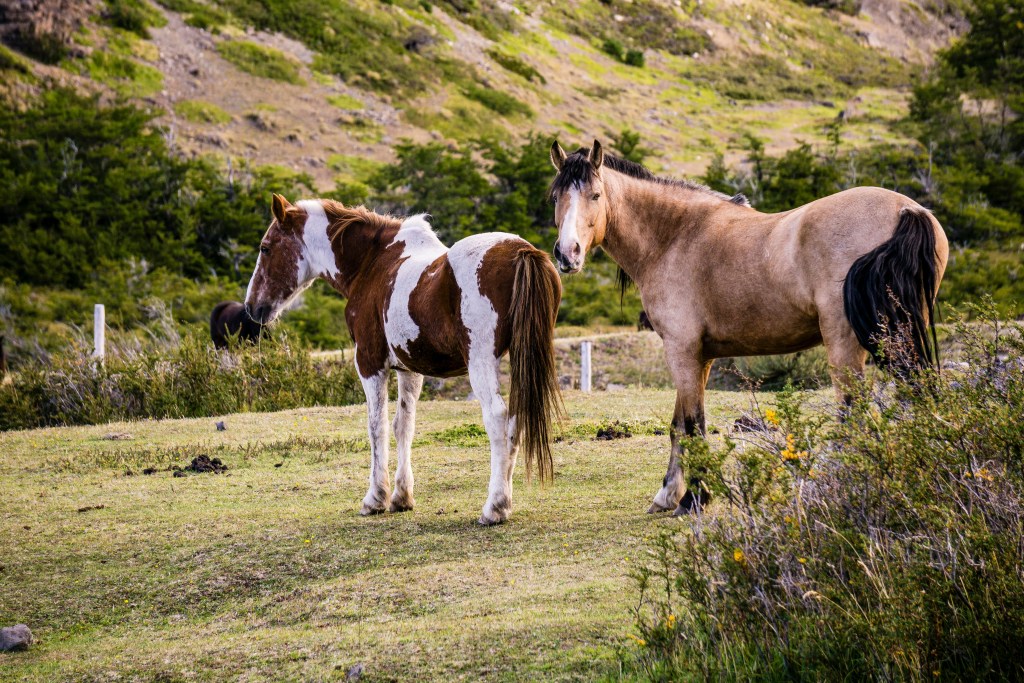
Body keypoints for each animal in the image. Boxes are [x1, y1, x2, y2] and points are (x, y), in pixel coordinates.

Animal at [245, 194, 563, 525]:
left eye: (265, 248)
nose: (252, 307)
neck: (373, 263)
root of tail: (522, 251)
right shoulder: (410, 369)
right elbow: (403, 426)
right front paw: (401, 496)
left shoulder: (370, 364)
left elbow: (377, 427)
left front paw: (376, 498)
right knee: (515, 419)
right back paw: (505, 502)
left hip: (481, 364)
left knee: (498, 418)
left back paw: (495, 507)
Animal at [549, 140, 948, 516]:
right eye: (556, 196)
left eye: (595, 195)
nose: (567, 254)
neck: (674, 237)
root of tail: (906, 210)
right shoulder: (700, 356)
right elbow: (679, 425)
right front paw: (668, 494)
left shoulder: (681, 350)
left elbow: (693, 424)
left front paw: (693, 499)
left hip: (847, 342)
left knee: (853, 411)